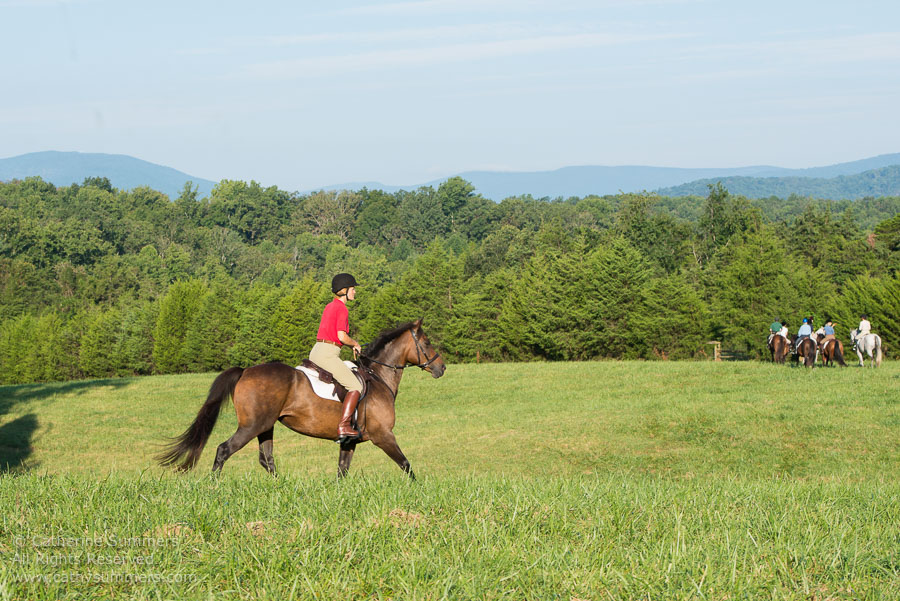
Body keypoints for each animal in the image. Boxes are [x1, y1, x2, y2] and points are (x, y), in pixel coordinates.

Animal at [161, 318, 446, 478]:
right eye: (427, 342)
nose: (441, 368)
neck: (379, 377)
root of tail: (245, 371)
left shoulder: (349, 442)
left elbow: (342, 472)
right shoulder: (383, 435)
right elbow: (406, 465)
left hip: (265, 426)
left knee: (267, 460)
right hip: (252, 426)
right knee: (224, 450)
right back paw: (213, 486)